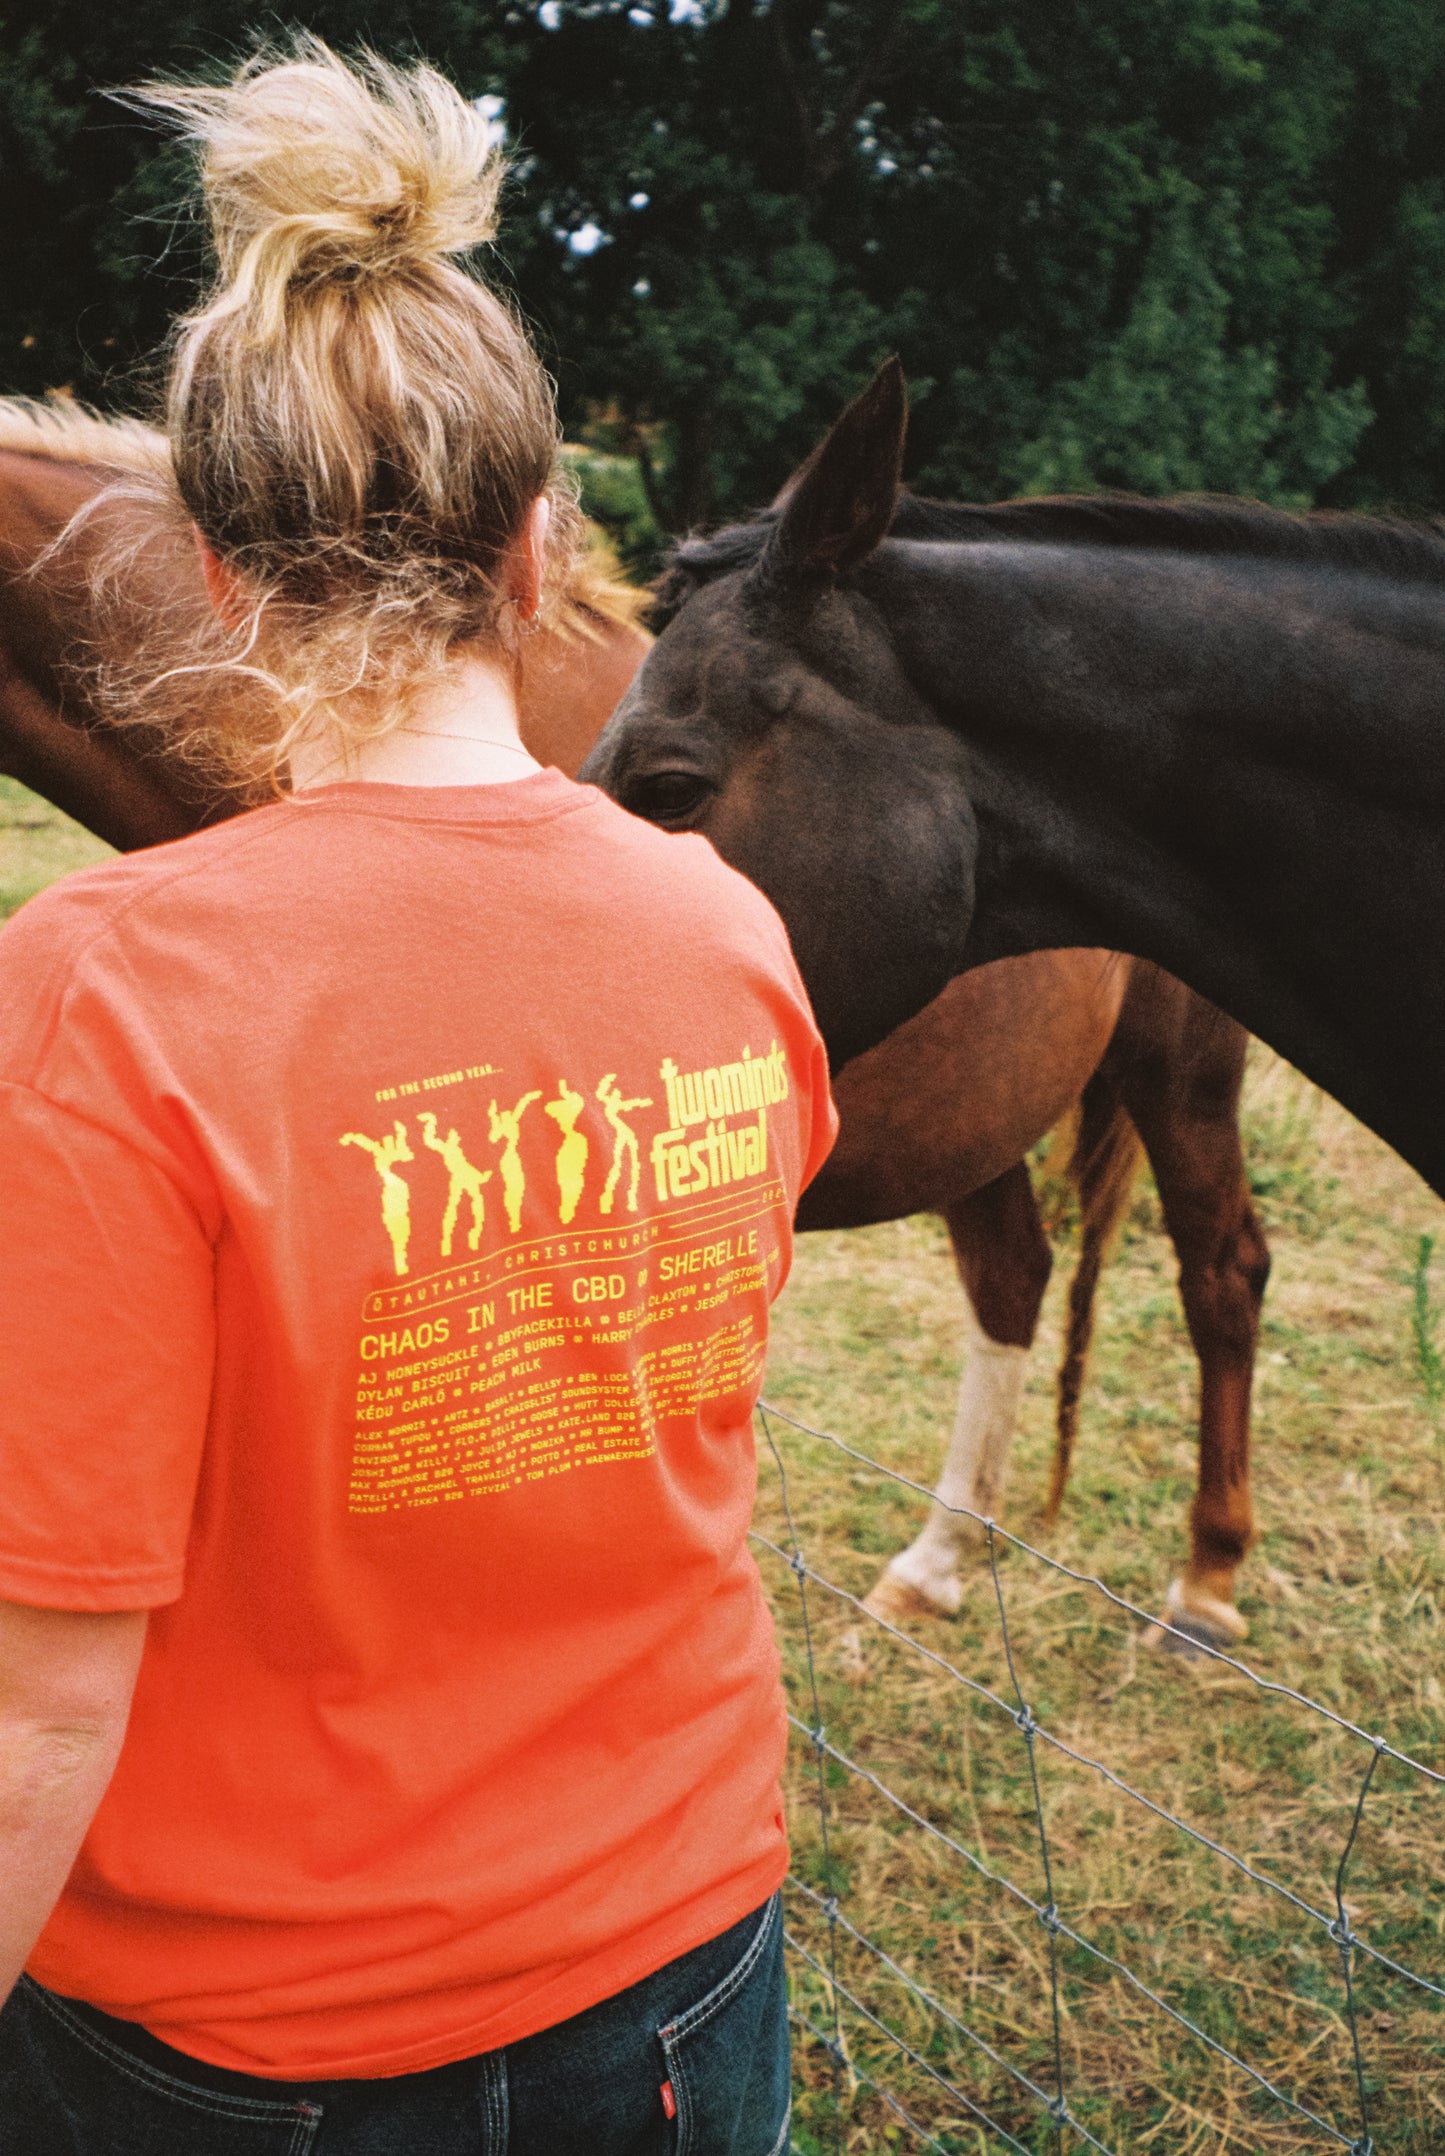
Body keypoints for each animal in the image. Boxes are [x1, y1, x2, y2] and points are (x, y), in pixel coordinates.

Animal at [0, 405, 1268, 1638]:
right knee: (1012, 1274)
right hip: (978, 1118)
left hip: (1181, 1075)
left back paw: (1203, 1583)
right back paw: (935, 1564)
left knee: (1221, 1271)